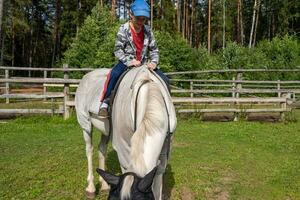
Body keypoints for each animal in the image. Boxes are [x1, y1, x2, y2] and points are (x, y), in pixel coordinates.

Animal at [75, 65, 177, 198]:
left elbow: (157, 183)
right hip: (85, 124)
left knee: (101, 149)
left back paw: (104, 185)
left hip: (106, 130)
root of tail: (86, 76)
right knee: (89, 150)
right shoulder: (123, 149)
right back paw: (91, 188)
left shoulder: (164, 152)